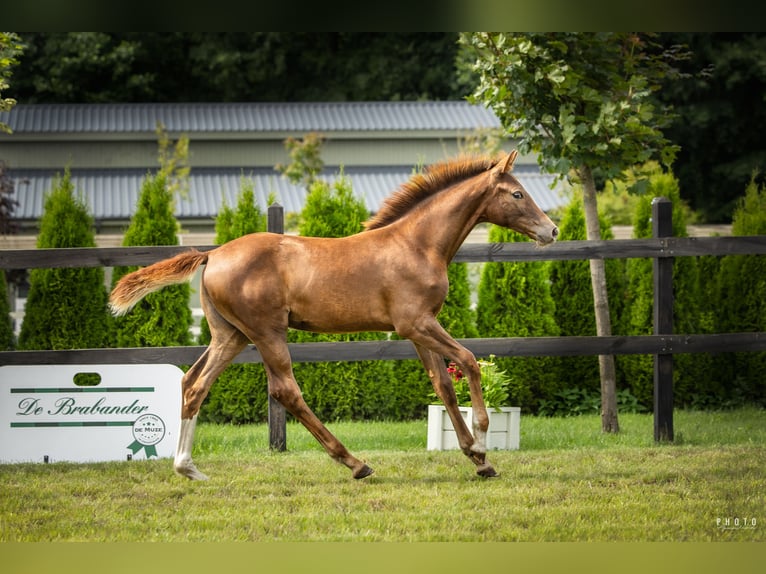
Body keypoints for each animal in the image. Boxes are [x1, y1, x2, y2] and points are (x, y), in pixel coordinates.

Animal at [109, 150, 558, 481]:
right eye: (517, 194)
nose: (551, 230)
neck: (417, 244)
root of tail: (212, 253)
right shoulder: (416, 323)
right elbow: (468, 361)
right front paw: (481, 441)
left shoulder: (418, 329)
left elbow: (443, 384)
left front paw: (479, 461)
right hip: (266, 332)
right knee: (285, 391)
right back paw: (355, 463)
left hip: (230, 335)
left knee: (194, 383)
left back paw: (187, 468)